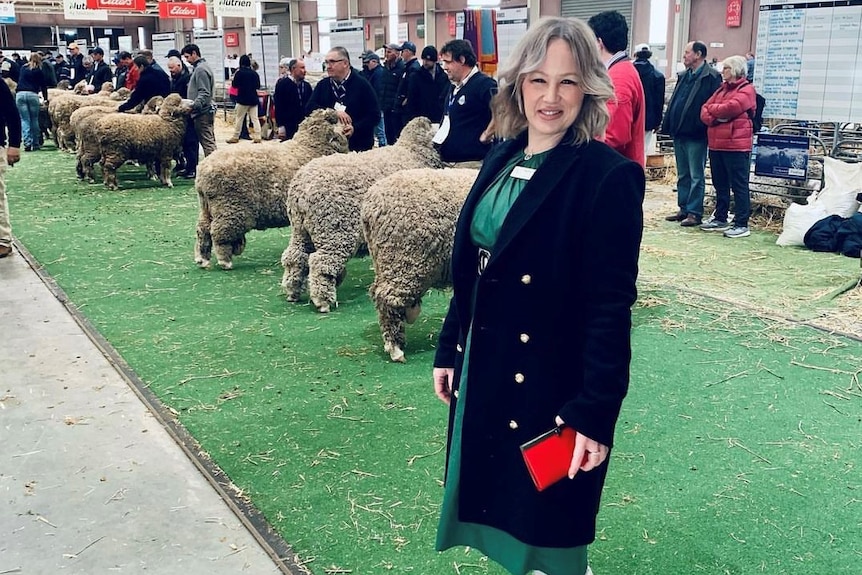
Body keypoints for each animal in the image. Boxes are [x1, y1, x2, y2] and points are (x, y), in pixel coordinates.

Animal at [194, 109, 350, 270]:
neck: (310, 147)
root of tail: (202, 173)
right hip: (229, 209)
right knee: (219, 234)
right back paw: (225, 261)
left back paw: (202, 259)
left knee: (203, 229)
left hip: (207, 208)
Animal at [284, 118, 446, 316]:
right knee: (320, 263)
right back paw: (323, 301)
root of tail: (301, 189)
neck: (414, 151)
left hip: (301, 229)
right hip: (334, 230)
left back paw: (292, 291)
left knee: (295, 257)